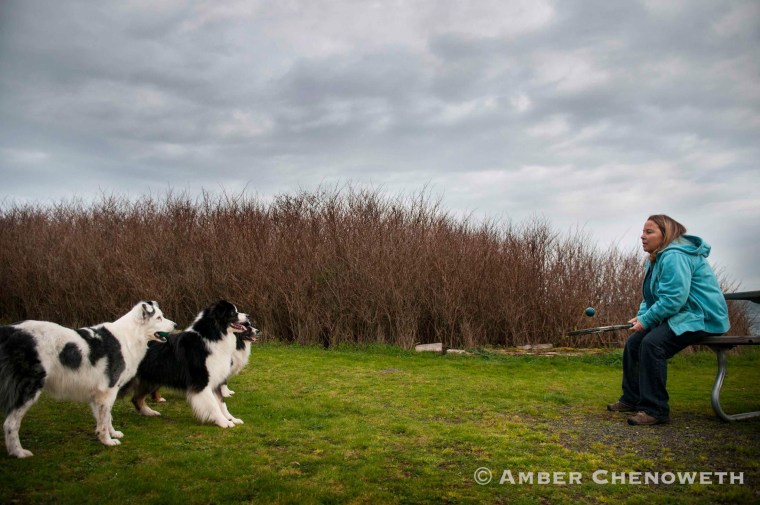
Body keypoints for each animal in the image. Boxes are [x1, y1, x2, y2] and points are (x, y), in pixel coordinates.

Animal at [0, 302, 175, 458]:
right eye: (159, 317)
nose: (175, 324)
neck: (129, 336)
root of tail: (9, 330)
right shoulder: (109, 389)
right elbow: (105, 418)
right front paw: (107, 441)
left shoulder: (99, 392)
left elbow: (105, 417)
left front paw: (111, 434)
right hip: (29, 388)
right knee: (10, 424)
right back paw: (19, 452)